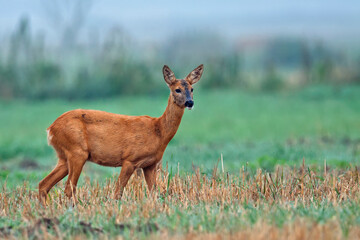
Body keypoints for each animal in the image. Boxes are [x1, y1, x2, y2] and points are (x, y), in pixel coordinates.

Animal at [39, 63, 204, 202]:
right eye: (177, 89)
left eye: (192, 89)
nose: (190, 102)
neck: (158, 131)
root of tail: (51, 129)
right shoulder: (130, 159)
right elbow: (118, 192)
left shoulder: (150, 165)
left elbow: (153, 193)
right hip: (77, 151)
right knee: (68, 188)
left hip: (64, 156)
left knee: (43, 184)